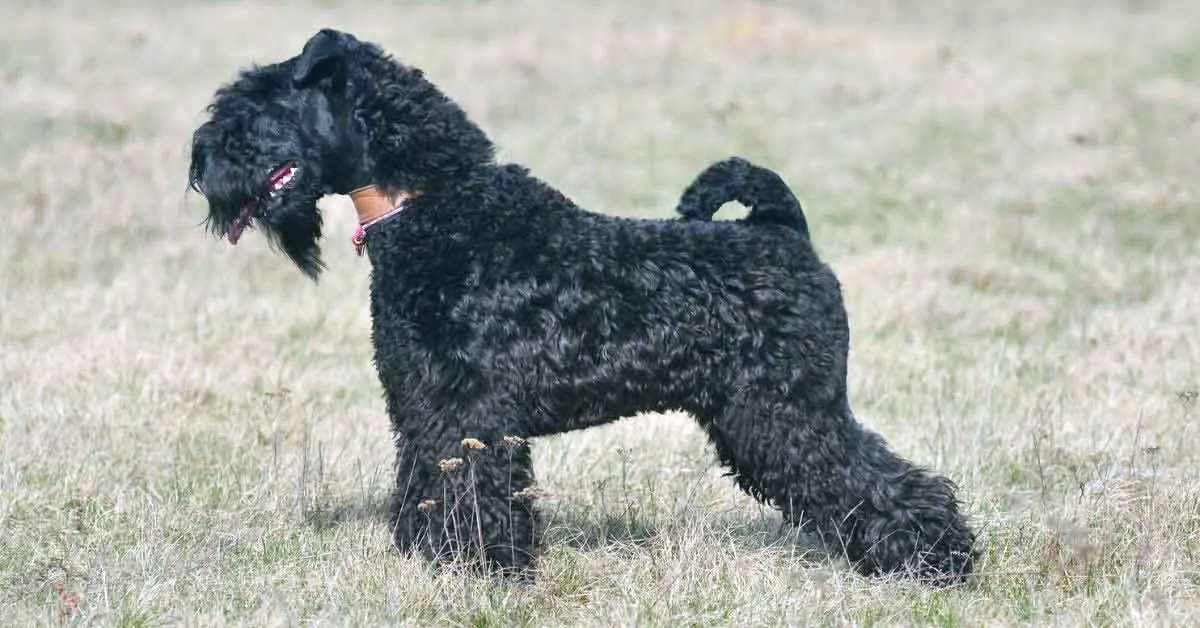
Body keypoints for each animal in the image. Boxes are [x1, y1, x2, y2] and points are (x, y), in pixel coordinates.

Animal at [187, 27, 974, 588]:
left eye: (256, 104)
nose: (199, 163)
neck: (434, 208)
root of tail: (783, 231)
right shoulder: (423, 405)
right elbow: (426, 483)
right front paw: (430, 563)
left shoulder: (472, 412)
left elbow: (475, 493)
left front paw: (483, 572)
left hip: (788, 413)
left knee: (883, 481)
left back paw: (939, 562)